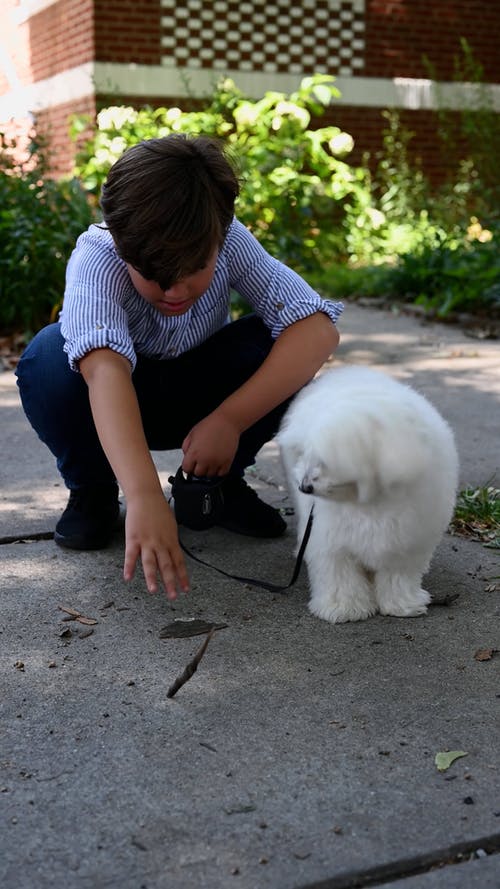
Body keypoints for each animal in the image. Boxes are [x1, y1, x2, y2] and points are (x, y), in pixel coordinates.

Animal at [280, 364, 458, 620]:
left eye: (327, 460)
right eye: (305, 453)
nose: (304, 486)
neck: (371, 501)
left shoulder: (406, 540)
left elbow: (398, 576)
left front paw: (401, 604)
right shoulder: (332, 541)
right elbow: (339, 575)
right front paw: (344, 608)